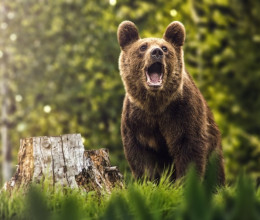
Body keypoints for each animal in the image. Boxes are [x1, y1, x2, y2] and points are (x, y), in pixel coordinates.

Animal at [117, 21, 224, 186]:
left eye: (165, 48)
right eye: (143, 47)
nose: (156, 52)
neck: (155, 104)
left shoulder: (183, 113)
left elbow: (189, 148)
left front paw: (184, 184)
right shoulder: (136, 120)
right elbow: (140, 156)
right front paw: (147, 182)